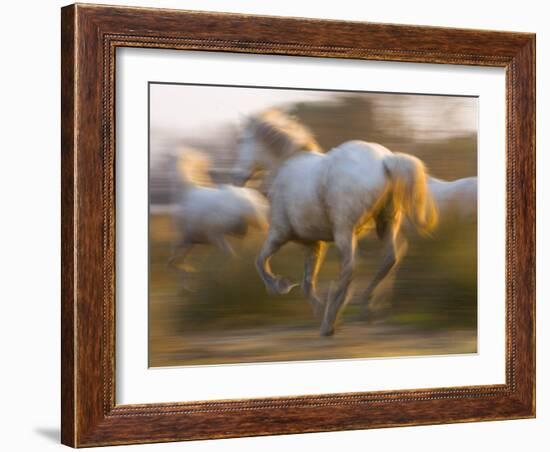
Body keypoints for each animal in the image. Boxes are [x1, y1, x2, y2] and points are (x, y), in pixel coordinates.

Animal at [169, 148, 270, 276]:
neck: (186, 192)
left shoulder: (186, 236)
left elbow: (176, 254)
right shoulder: (190, 239)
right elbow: (179, 258)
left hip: (218, 234)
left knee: (231, 254)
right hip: (244, 232)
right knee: (249, 251)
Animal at [234, 109, 440, 336]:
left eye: (241, 140)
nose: (237, 177)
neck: (285, 166)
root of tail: (385, 160)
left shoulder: (279, 234)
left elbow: (260, 262)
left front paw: (280, 286)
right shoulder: (314, 244)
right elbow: (307, 283)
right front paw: (318, 307)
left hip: (344, 231)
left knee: (350, 267)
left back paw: (332, 320)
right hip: (385, 223)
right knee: (390, 258)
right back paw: (366, 308)